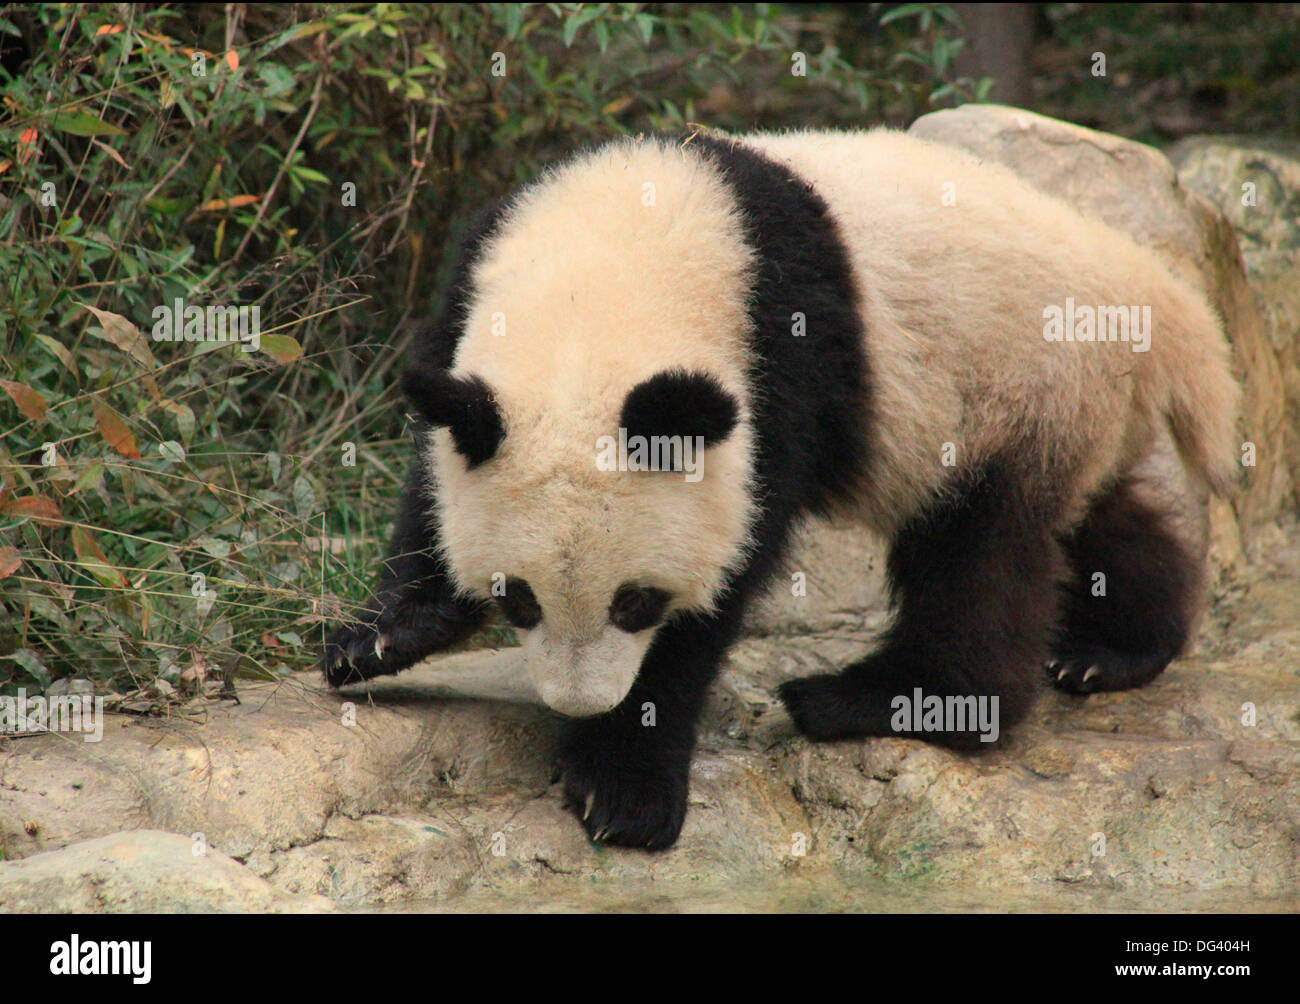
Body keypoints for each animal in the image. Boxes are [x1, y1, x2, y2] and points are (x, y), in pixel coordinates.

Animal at [322, 125, 1237, 847]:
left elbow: (732, 564)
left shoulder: (783, 358)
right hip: (1076, 402)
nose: (581, 702)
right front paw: (381, 636)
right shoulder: (472, 292)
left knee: (980, 554)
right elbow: (434, 475)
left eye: (635, 603)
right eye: (518, 599)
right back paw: (1114, 650)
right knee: (1093, 515)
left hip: (1017, 384)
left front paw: (624, 782)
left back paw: (888, 699)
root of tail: (1149, 292)